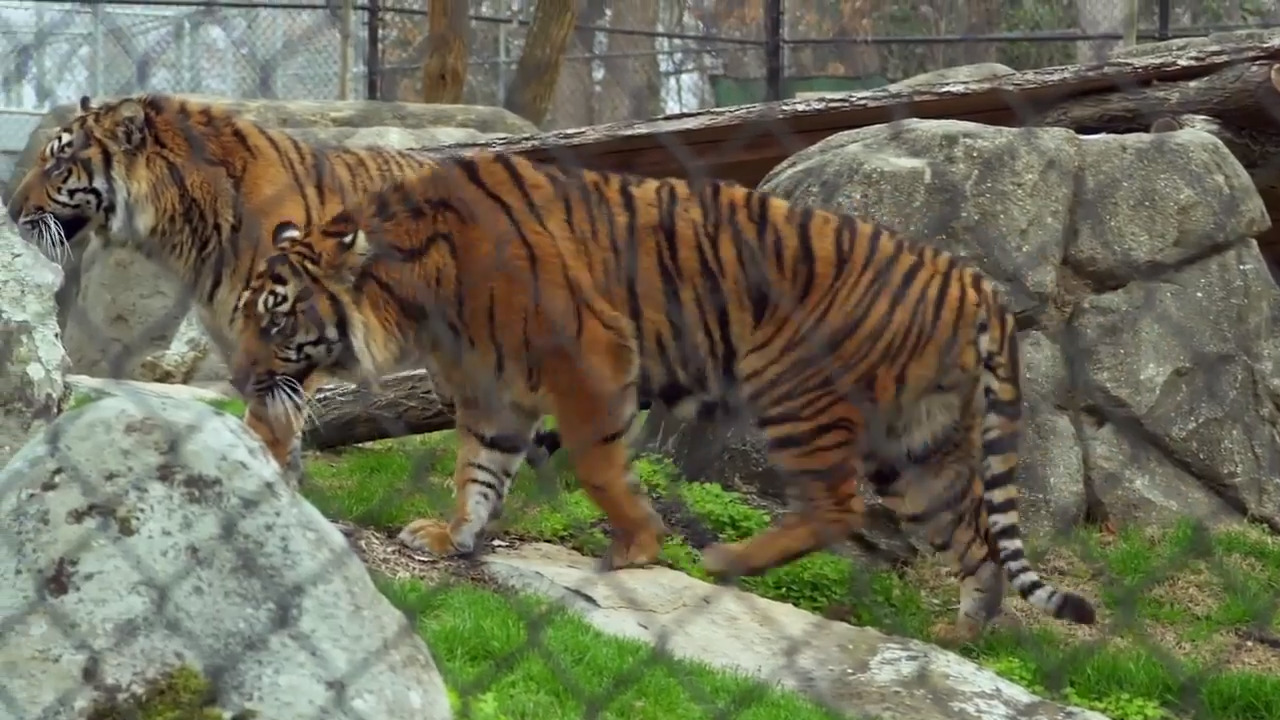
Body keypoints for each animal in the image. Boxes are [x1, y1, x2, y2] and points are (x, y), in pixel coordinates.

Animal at [227, 150, 1098, 641]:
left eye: (275, 318)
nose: (238, 379)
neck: (411, 294)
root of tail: (975, 284)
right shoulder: (494, 395)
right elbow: (478, 472)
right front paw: (452, 536)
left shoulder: (590, 359)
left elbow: (597, 466)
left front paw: (639, 545)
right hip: (918, 448)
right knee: (975, 541)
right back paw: (963, 638)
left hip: (793, 386)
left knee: (837, 506)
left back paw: (728, 557)